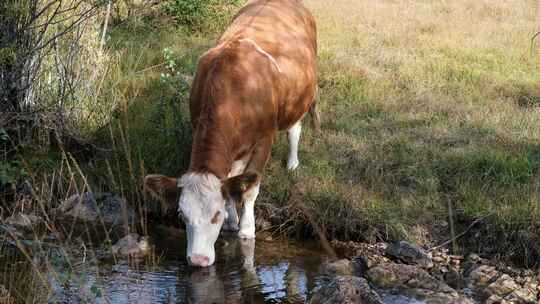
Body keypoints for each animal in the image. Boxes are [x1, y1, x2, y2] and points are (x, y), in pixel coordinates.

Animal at [146, 0, 318, 266]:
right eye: (182, 215)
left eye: (215, 215)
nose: (198, 260)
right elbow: (231, 182)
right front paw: (231, 222)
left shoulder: (264, 140)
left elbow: (250, 188)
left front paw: (246, 229)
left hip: (300, 97)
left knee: (294, 129)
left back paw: (292, 163)